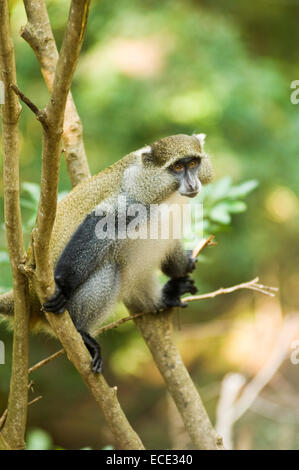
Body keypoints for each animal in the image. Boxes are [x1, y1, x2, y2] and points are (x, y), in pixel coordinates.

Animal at [0, 133, 216, 374]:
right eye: (177, 166)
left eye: (194, 163)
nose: (192, 183)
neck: (165, 194)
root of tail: (28, 294)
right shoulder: (132, 202)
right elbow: (101, 223)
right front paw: (63, 287)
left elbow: (171, 245)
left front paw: (185, 263)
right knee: (110, 268)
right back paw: (81, 332)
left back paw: (164, 297)